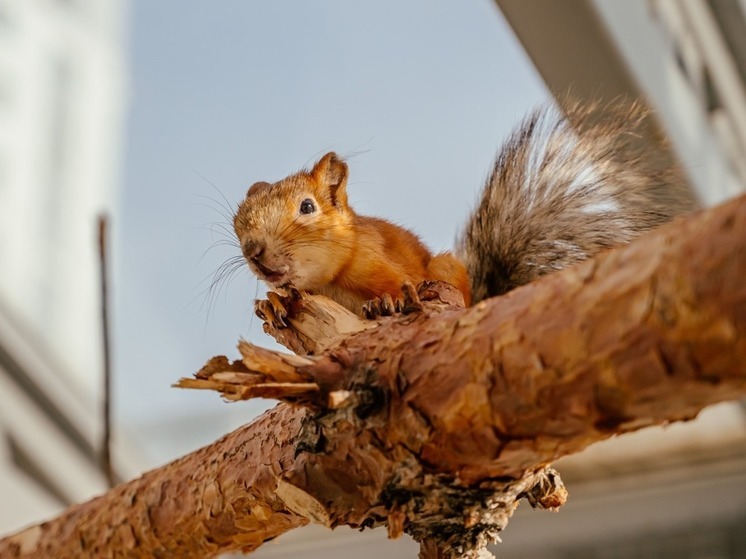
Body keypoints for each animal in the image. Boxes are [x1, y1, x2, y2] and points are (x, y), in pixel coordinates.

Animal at [231, 102, 692, 316]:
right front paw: (272, 304)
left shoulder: (381, 262)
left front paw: (385, 303)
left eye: (307, 206)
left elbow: (397, 285)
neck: (328, 282)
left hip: (447, 272)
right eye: (238, 224)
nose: (253, 251)